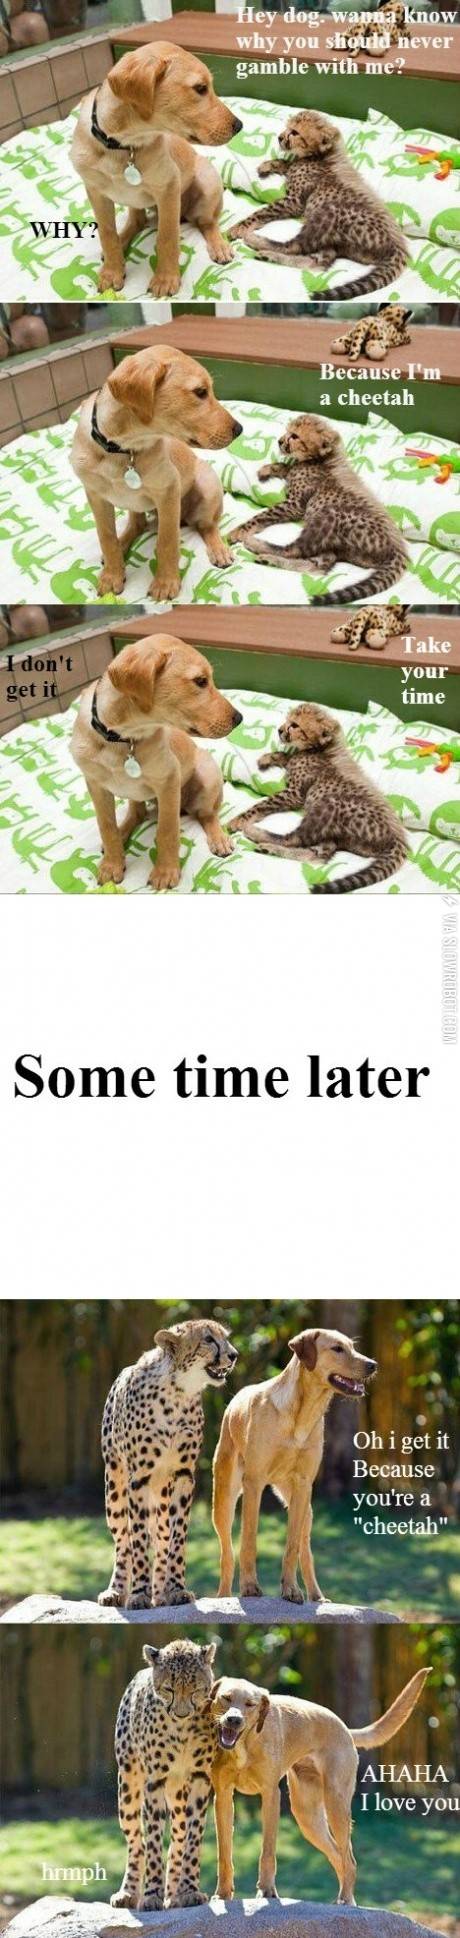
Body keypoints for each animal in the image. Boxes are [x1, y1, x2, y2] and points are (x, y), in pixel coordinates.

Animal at [98, 1319, 237, 1611]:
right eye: (208, 1339)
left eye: (226, 1338)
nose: (234, 1355)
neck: (177, 1392)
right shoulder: (139, 1478)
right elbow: (138, 1541)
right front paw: (138, 1594)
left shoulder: (184, 1475)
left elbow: (177, 1538)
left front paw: (175, 1589)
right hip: (114, 1488)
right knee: (122, 1542)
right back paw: (116, 1591)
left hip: (161, 1496)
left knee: (161, 1539)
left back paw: (160, 1594)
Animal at [112, 1639, 219, 1912]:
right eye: (168, 1689)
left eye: (195, 1689)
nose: (181, 1713)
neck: (181, 1729)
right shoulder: (155, 1781)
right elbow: (152, 1842)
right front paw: (151, 1895)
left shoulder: (201, 1778)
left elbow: (192, 1838)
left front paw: (189, 1890)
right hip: (128, 1787)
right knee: (136, 1842)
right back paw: (129, 1893)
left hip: (179, 1793)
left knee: (178, 1840)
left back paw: (173, 1895)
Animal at [227, 110, 408, 300]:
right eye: (287, 128)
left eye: (295, 132)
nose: (279, 137)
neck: (321, 155)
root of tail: (400, 247)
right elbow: (288, 163)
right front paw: (267, 165)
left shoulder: (294, 202)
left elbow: (263, 211)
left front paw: (240, 227)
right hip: (332, 240)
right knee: (319, 264)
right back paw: (269, 256)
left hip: (328, 214)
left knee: (294, 246)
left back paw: (255, 241)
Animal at [228, 702, 408, 894]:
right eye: (287, 721)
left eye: (295, 725)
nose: (279, 730)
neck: (321, 748)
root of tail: (400, 839)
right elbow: (287, 756)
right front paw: (266, 758)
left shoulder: (294, 794)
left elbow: (263, 804)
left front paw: (239, 820)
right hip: (333, 833)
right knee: (318, 857)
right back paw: (270, 849)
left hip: (328, 806)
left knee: (293, 839)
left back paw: (254, 833)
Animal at [229, 414, 408, 607]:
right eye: (287, 431)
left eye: (295, 436)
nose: (279, 441)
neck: (322, 459)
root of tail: (400, 550)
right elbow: (287, 467)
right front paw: (266, 469)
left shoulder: (294, 505)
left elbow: (263, 515)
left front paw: (239, 530)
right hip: (334, 544)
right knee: (319, 567)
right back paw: (269, 560)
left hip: (329, 517)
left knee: (294, 550)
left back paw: (255, 545)